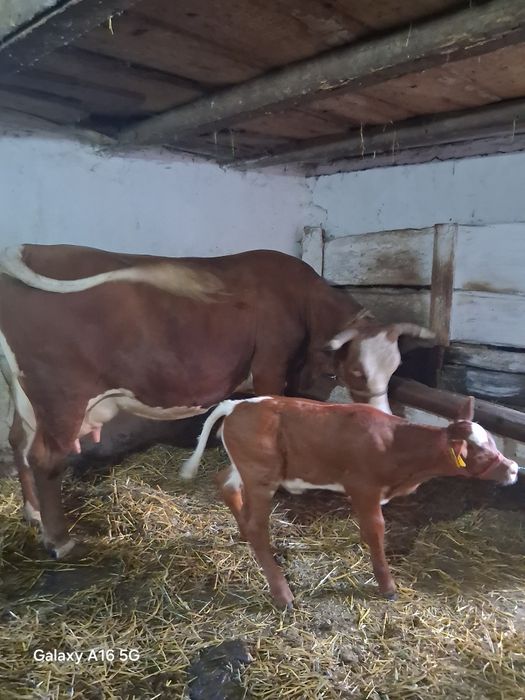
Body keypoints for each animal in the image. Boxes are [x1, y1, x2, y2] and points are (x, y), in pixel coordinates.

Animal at [0, 244, 433, 558]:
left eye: (395, 367)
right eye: (357, 372)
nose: (382, 418)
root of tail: (27, 248)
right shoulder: (272, 365)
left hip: (24, 396)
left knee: (18, 443)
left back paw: (33, 514)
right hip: (61, 396)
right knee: (46, 459)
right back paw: (59, 540)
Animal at [180, 395, 518, 608]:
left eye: (493, 443)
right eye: (482, 454)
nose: (514, 468)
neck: (397, 447)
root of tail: (238, 403)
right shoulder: (365, 488)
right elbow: (376, 531)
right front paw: (387, 587)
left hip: (245, 469)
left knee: (226, 486)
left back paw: (242, 534)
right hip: (262, 476)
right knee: (257, 526)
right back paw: (283, 593)